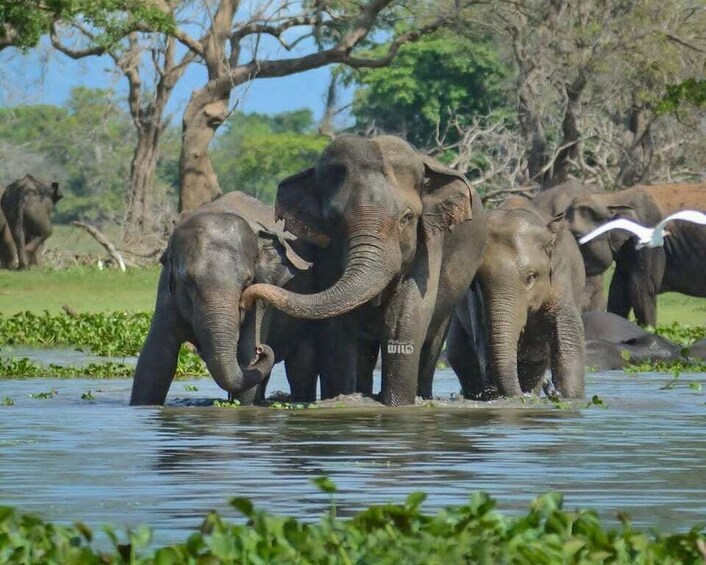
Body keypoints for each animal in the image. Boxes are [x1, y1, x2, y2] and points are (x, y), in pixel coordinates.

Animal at [130, 191, 318, 406]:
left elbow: (245, 354)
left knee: (301, 367)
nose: (261, 349)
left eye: (247, 281)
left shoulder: (263, 296)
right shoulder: (167, 294)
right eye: (188, 280)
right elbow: (155, 359)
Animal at [241, 135, 487, 406]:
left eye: (406, 218)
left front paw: (397, 405)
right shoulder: (325, 251)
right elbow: (337, 325)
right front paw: (344, 398)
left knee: (432, 342)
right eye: (334, 219)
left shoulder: (430, 242)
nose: (245, 298)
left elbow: (406, 313)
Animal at [447, 200, 585, 399]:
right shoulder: (475, 303)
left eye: (531, 276)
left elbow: (568, 331)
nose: (550, 389)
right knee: (459, 356)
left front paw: (569, 397)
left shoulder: (561, 276)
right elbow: (483, 339)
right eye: (476, 282)